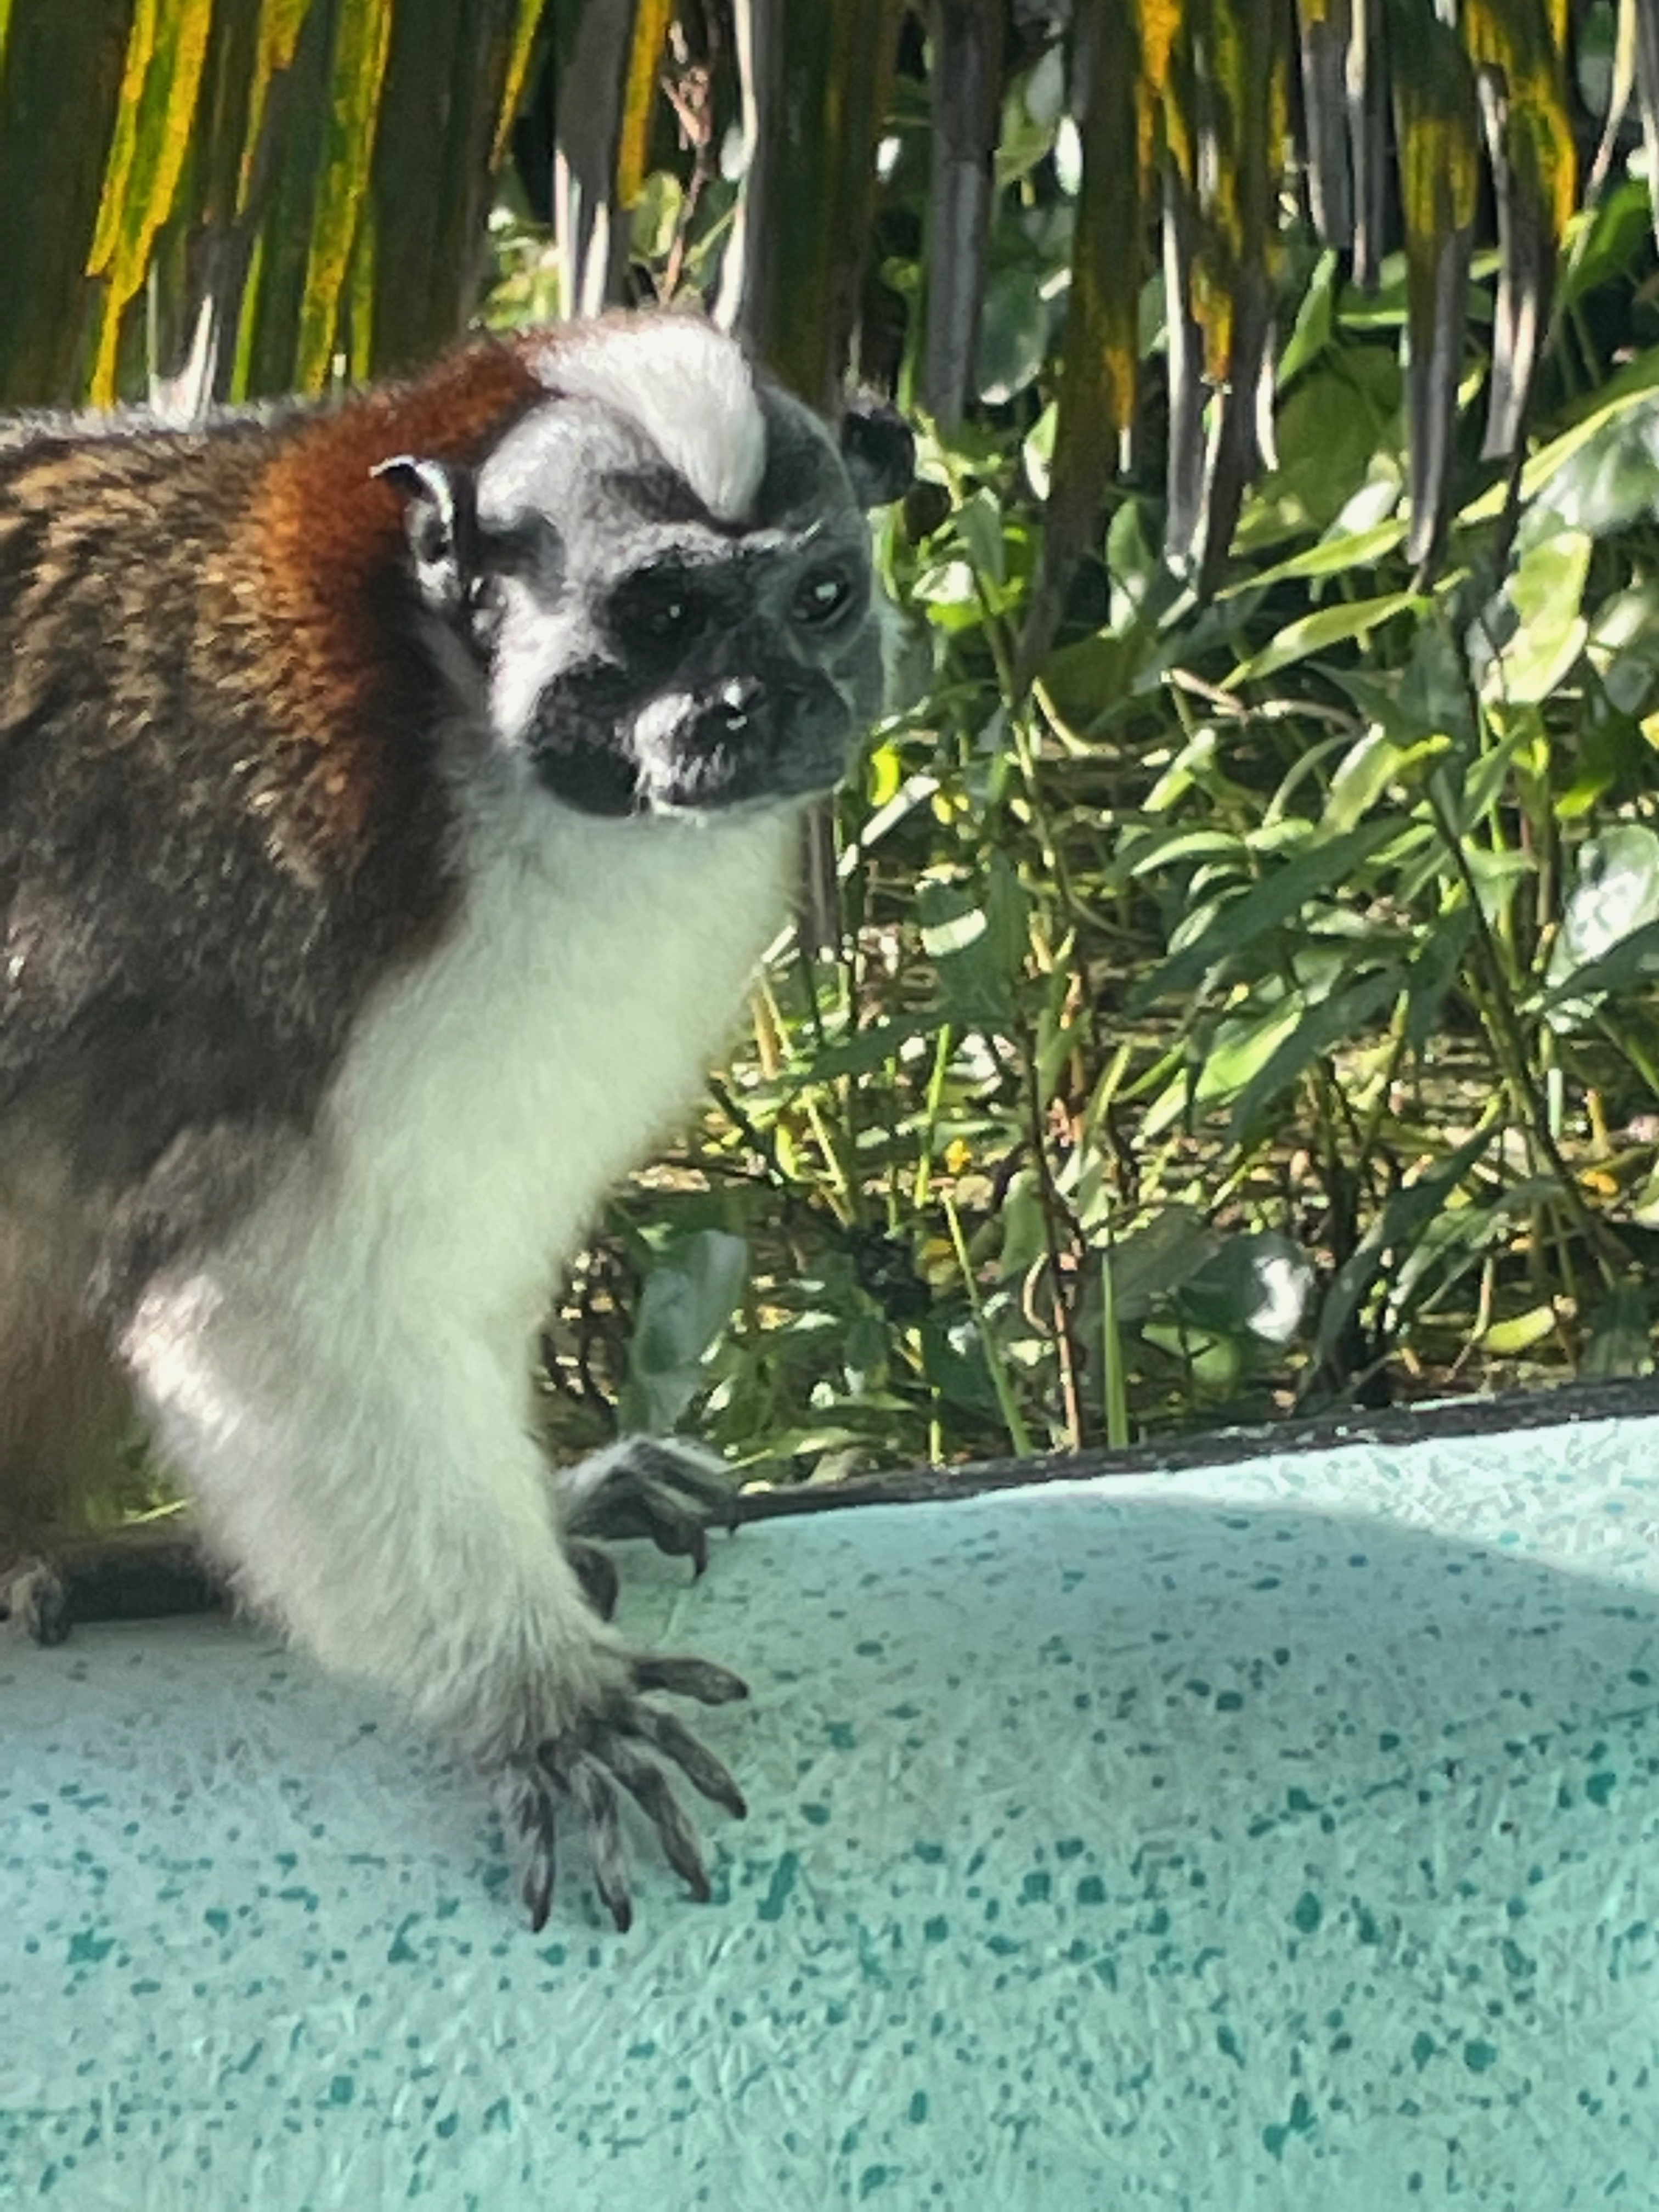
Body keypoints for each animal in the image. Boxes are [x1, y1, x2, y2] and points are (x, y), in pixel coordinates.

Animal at [0, 312, 911, 1932]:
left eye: (819, 599)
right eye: (662, 614)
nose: (758, 709)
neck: (461, 733)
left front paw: (566, 1501)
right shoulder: (309, 909)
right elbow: (280, 1311)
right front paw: (544, 1696)